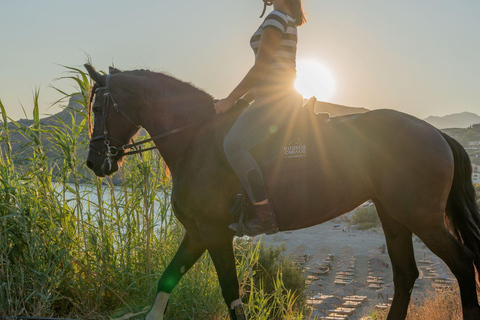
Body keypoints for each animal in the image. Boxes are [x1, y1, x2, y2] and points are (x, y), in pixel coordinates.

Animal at [84, 63, 480, 320]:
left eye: (99, 107)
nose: (93, 162)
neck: (196, 138)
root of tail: (435, 133)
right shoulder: (197, 234)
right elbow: (165, 286)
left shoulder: (214, 234)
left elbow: (232, 296)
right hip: (393, 214)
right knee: (405, 275)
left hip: (422, 218)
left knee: (462, 263)